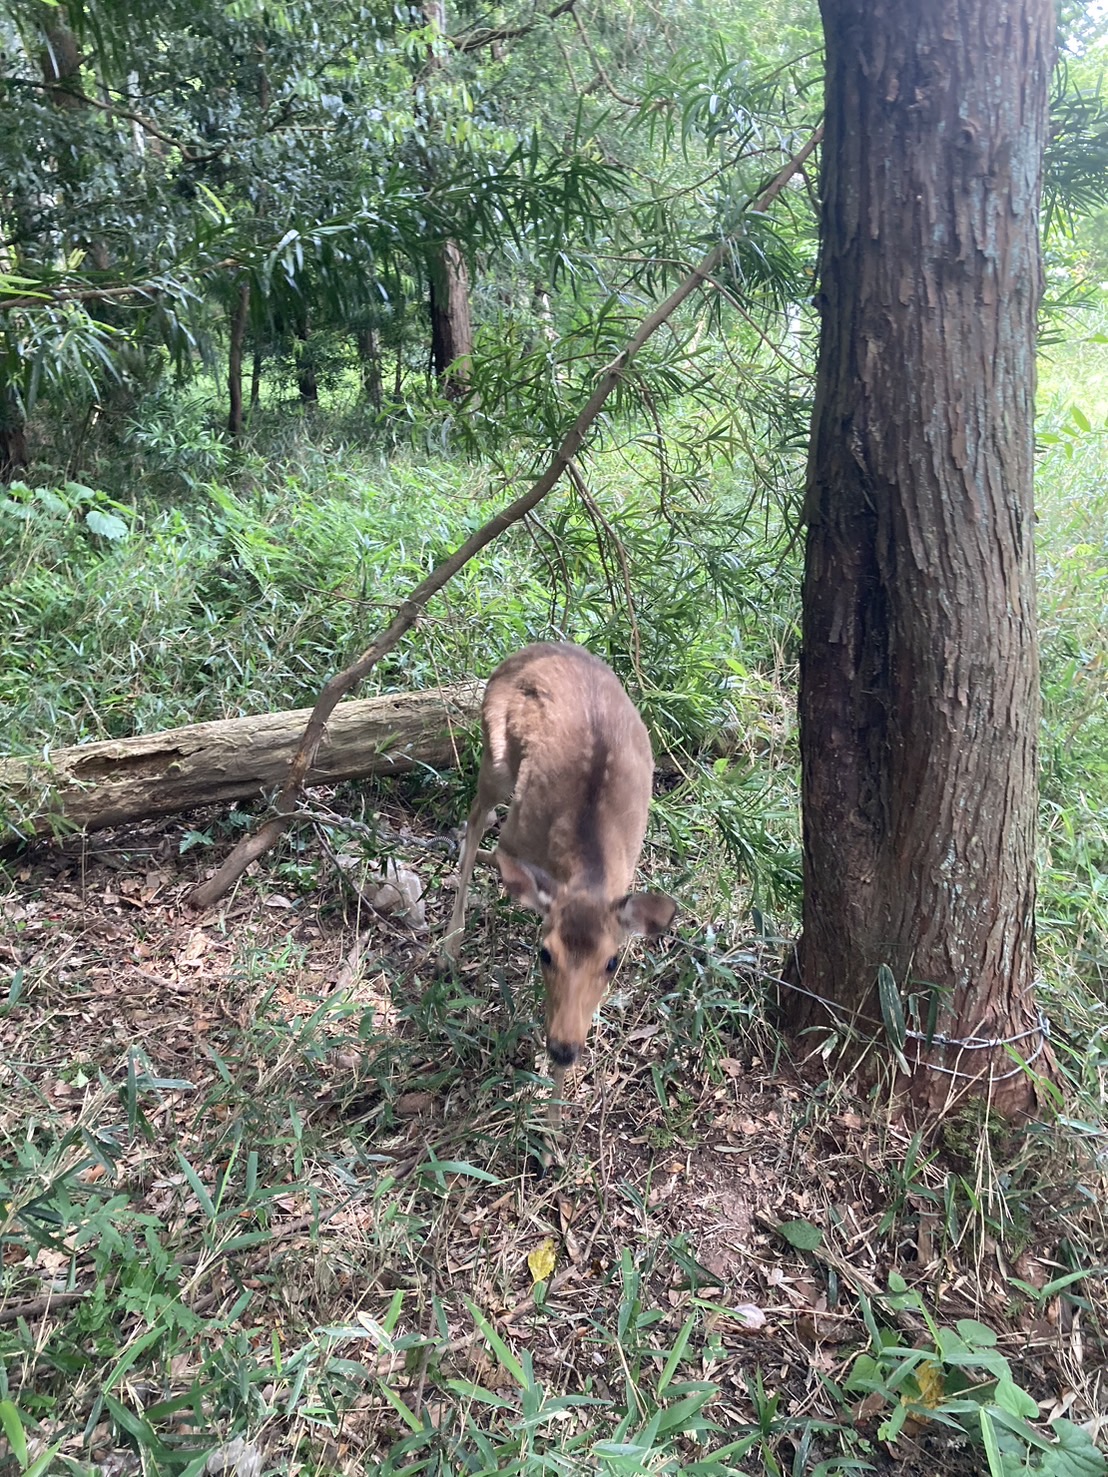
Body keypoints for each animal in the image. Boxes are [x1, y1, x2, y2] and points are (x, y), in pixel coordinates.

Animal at [446, 643, 676, 1128]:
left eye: (612, 963)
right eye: (545, 953)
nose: (564, 1049)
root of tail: (528, 651)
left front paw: (552, 1126)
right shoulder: (516, 840)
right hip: (496, 759)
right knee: (476, 820)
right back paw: (448, 950)